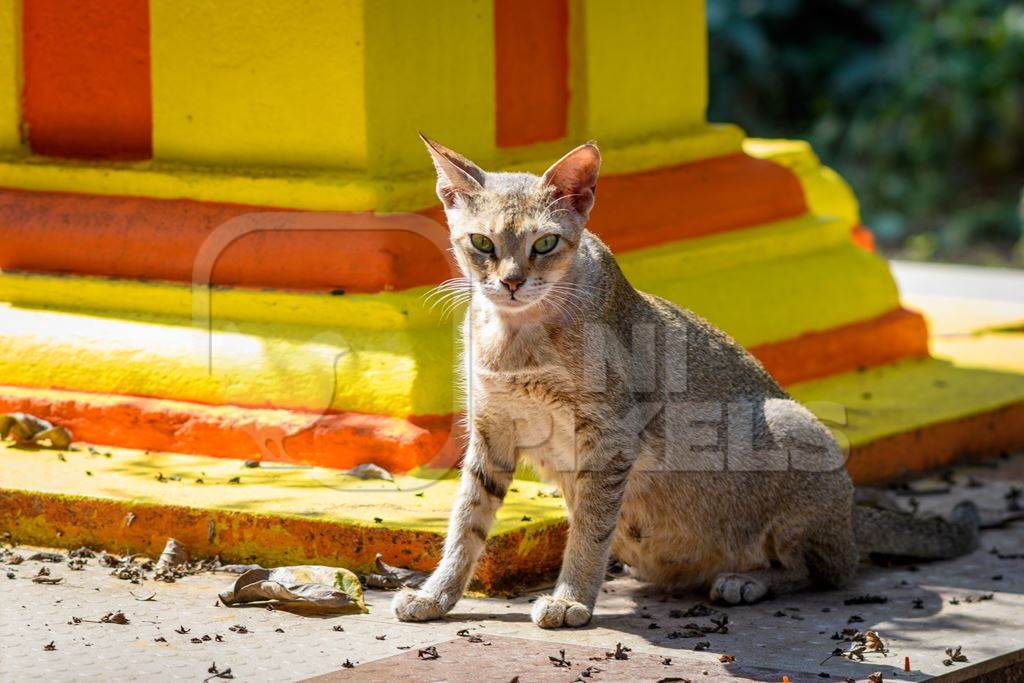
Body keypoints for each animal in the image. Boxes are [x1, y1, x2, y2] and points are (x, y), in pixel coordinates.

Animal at [389, 137, 974, 630]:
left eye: (546, 243)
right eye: (482, 243)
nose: (511, 282)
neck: (518, 337)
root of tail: (853, 516)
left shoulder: (608, 440)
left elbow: (589, 530)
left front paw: (571, 598)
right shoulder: (492, 432)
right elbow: (466, 522)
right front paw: (437, 595)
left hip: (793, 427)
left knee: (831, 569)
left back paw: (746, 580)